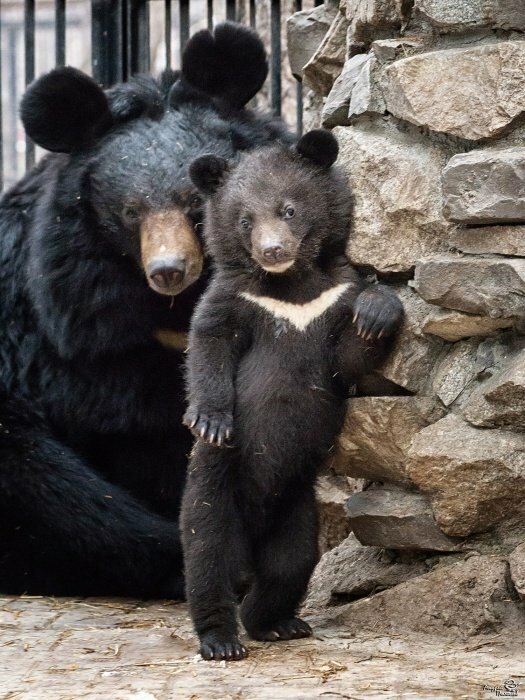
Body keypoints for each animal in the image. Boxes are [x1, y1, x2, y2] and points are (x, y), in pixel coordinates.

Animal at [180, 129, 404, 660]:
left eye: (289, 209)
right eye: (245, 220)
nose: (272, 250)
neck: (290, 289)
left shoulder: (332, 297)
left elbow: (347, 359)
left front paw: (379, 310)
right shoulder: (235, 298)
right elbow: (209, 342)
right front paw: (211, 420)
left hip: (298, 509)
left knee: (289, 565)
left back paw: (278, 623)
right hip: (214, 490)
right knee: (207, 558)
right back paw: (221, 639)